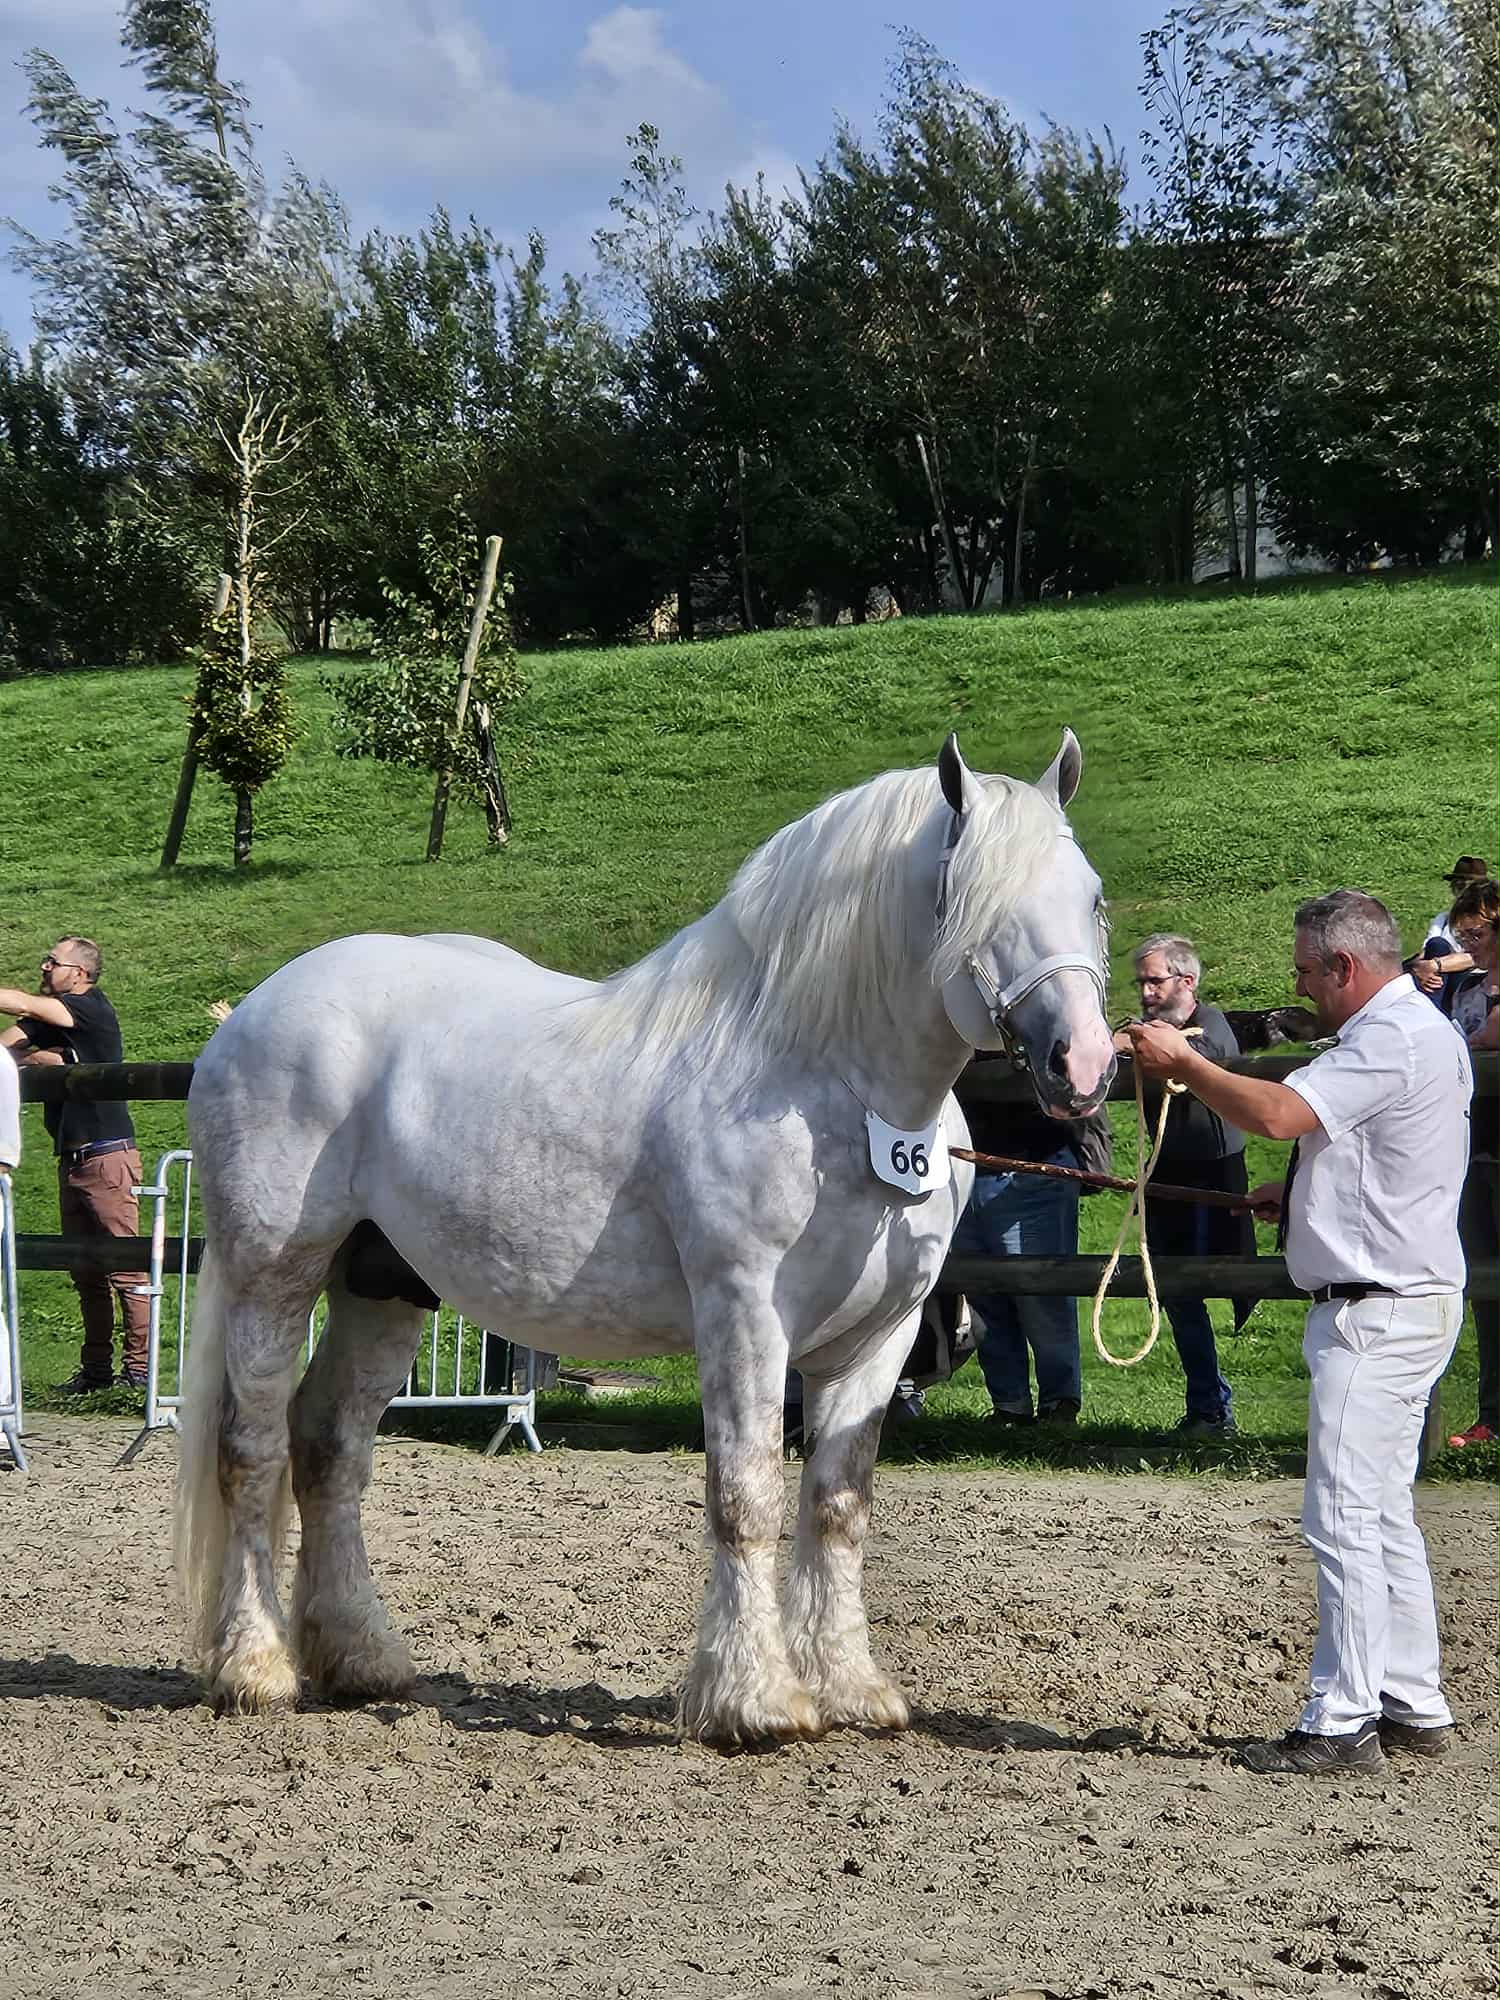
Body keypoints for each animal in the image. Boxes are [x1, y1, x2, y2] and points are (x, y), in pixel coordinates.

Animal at [175, 730, 1116, 1746]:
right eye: (983, 903)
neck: (824, 1086)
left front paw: (851, 1689)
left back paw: (362, 1659)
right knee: (252, 1450)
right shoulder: (744, 1312)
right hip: (274, 1276)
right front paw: (755, 1700)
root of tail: (249, 1013)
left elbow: (837, 1506)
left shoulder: (879, 1337)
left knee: (329, 1446)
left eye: (1091, 895)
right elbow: (746, 1494)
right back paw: (256, 1669)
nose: (1085, 1064)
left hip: (381, 1288)